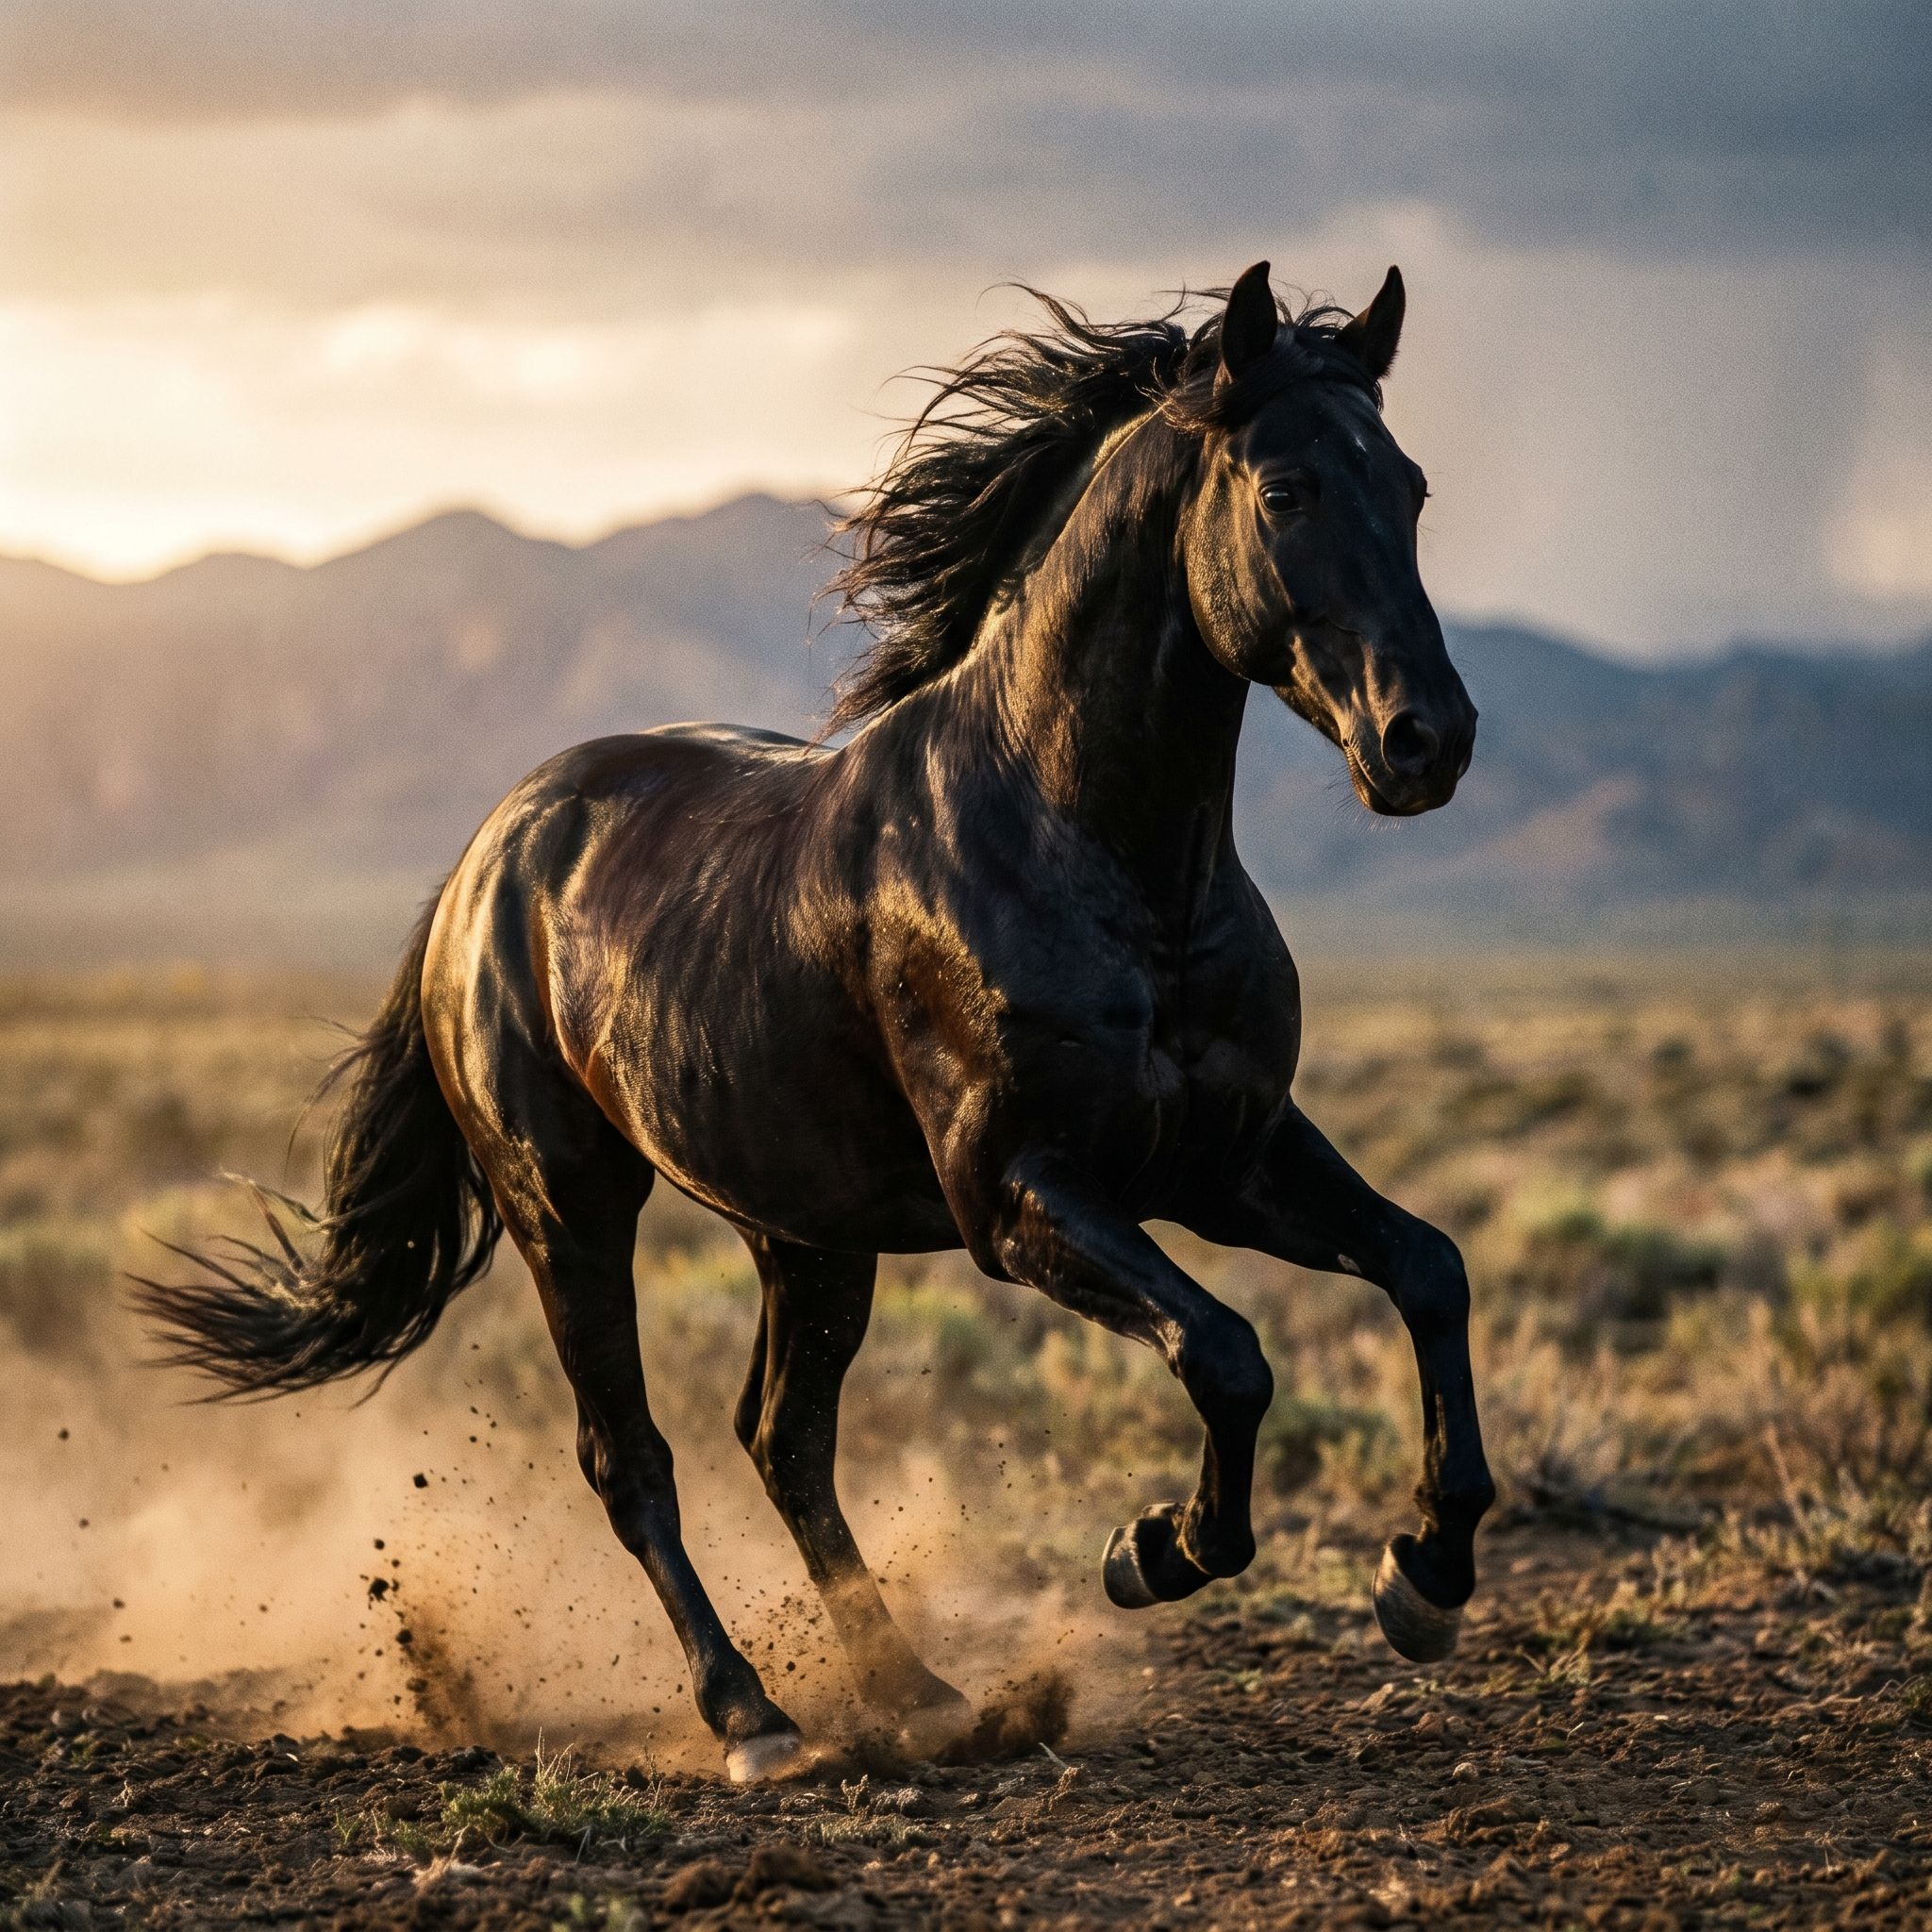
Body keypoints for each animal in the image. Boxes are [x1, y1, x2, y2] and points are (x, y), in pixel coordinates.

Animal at [142, 261, 1494, 1783]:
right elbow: (1227, 1352)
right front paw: (1157, 1549)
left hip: (807, 1230)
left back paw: (922, 1695)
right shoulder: (1019, 1195)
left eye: (1412, 486)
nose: (1427, 740)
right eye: (1285, 489)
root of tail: (489, 857)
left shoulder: (1229, 1155)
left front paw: (1424, 1577)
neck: (1094, 853)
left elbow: (1427, 1268)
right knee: (633, 1458)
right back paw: (754, 1718)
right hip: (569, 1205)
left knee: (783, 1441)